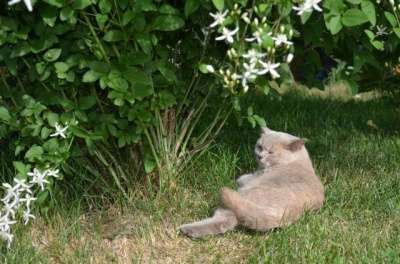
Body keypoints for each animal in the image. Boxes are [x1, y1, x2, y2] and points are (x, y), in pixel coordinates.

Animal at [180, 127, 324, 238]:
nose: (259, 156)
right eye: (259, 146)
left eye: (271, 152)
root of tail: (279, 214)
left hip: (240, 197)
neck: (297, 162)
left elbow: (242, 178)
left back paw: (185, 229)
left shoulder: (252, 177)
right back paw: (189, 231)